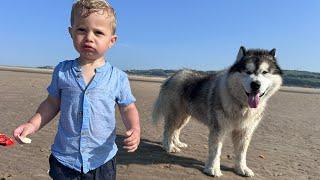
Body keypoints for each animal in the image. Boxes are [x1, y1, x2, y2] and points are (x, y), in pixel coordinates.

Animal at [152, 46, 282, 177]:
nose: (255, 84)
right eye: (247, 71)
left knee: (176, 130)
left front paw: (242, 168)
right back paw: (169, 146)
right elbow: (216, 151)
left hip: (184, 117)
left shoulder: (245, 131)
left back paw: (178, 143)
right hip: (175, 114)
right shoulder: (218, 128)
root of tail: (174, 75)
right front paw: (212, 169)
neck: (241, 105)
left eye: (265, 72)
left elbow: (241, 153)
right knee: (168, 130)